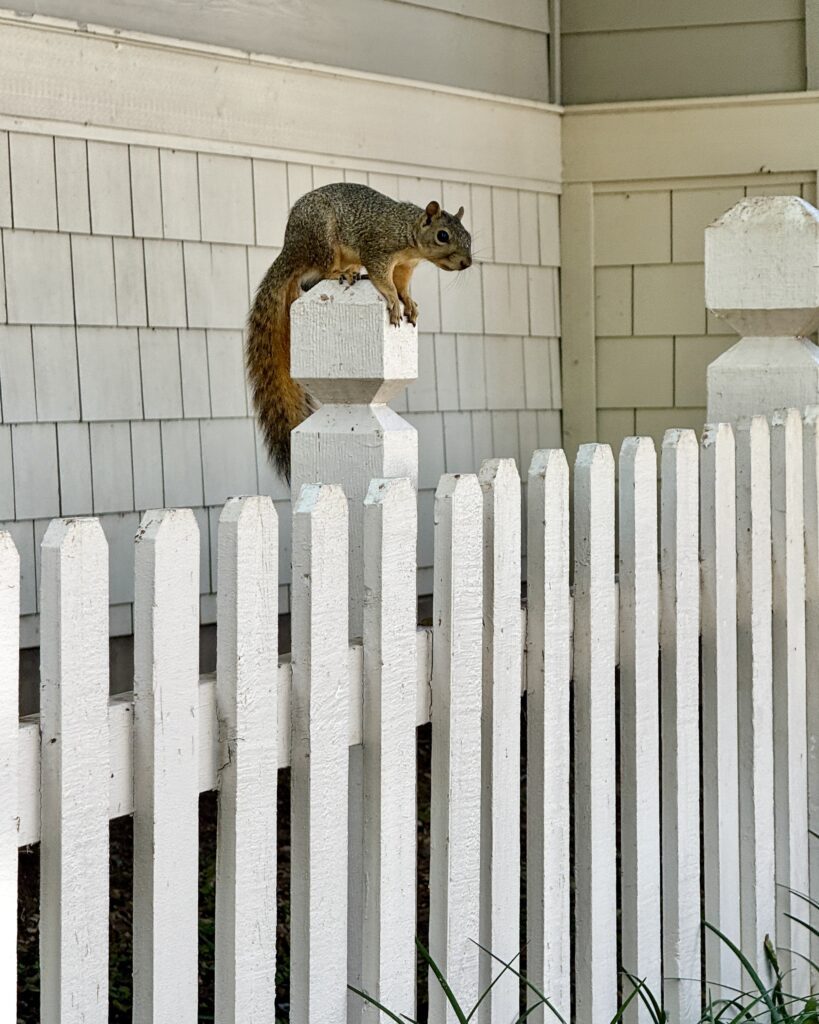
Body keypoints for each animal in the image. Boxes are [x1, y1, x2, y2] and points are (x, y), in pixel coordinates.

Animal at [246, 182, 472, 480]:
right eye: (443, 235)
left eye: (469, 236)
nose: (467, 263)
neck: (407, 230)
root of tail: (289, 249)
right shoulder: (378, 251)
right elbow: (384, 281)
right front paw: (393, 300)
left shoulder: (404, 266)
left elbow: (402, 285)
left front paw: (408, 302)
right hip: (322, 237)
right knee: (323, 268)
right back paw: (339, 274)